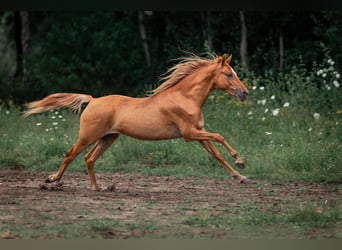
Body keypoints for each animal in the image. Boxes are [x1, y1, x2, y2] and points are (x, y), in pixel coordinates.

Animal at [23, 52, 248, 189]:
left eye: (234, 73)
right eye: (228, 74)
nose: (245, 93)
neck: (185, 97)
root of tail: (92, 100)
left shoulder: (199, 133)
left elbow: (217, 155)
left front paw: (241, 176)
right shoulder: (189, 134)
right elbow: (220, 136)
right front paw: (240, 161)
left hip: (108, 138)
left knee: (89, 158)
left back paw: (97, 187)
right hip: (88, 136)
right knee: (70, 155)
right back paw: (53, 179)